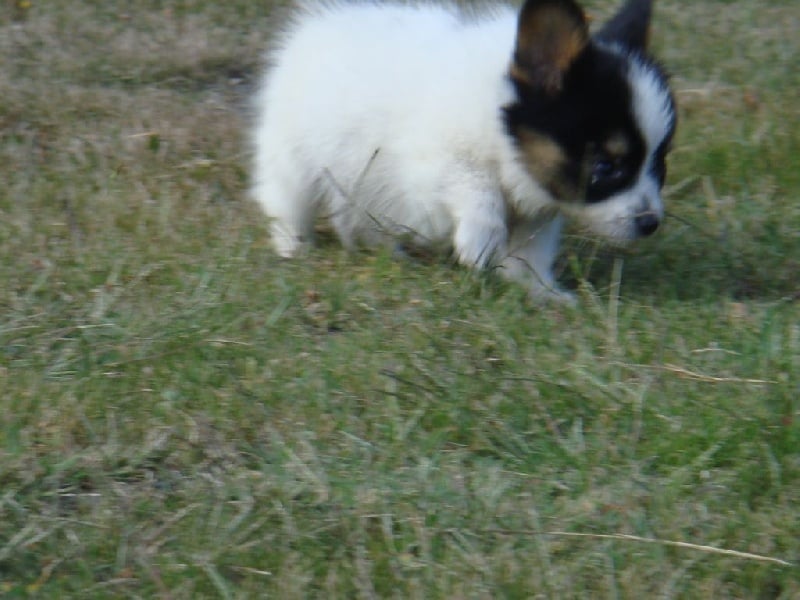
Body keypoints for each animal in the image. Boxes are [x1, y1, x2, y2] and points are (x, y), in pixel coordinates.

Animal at [250, 0, 676, 300]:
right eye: (606, 166)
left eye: (661, 162)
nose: (650, 223)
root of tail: (314, 31)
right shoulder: (434, 163)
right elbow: (476, 188)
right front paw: (480, 240)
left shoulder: (537, 212)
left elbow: (532, 251)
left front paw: (540, 291)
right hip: (293, 158)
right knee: (286, 201)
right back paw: (294, 247)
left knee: (358, 217)